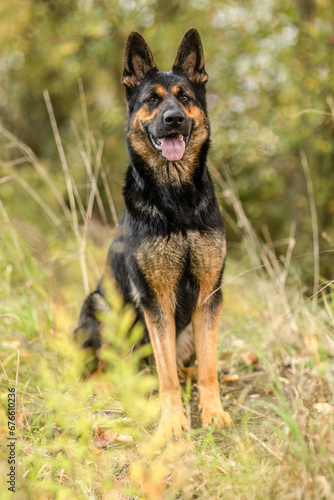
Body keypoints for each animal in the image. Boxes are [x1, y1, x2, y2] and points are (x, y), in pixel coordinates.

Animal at [75, 28, 232, 438]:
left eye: (185, 98)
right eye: (152, 100)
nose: (174, 119)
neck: (176, 200)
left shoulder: (209, 295)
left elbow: (209, 366)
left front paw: (213, 412)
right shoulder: (154, 299)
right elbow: (165, 377)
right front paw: (174, 422)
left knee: (184, 365)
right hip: (99, 306)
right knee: (103, 369)